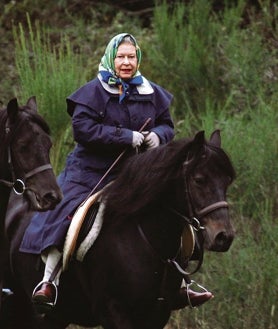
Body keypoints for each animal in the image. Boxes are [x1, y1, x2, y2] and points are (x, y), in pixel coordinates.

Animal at [3, 129, 235, 326]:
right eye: (199, 180)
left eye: (226, 182)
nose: (224, 237)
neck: (148, 238)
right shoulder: (113, 311)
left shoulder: (158, 314)